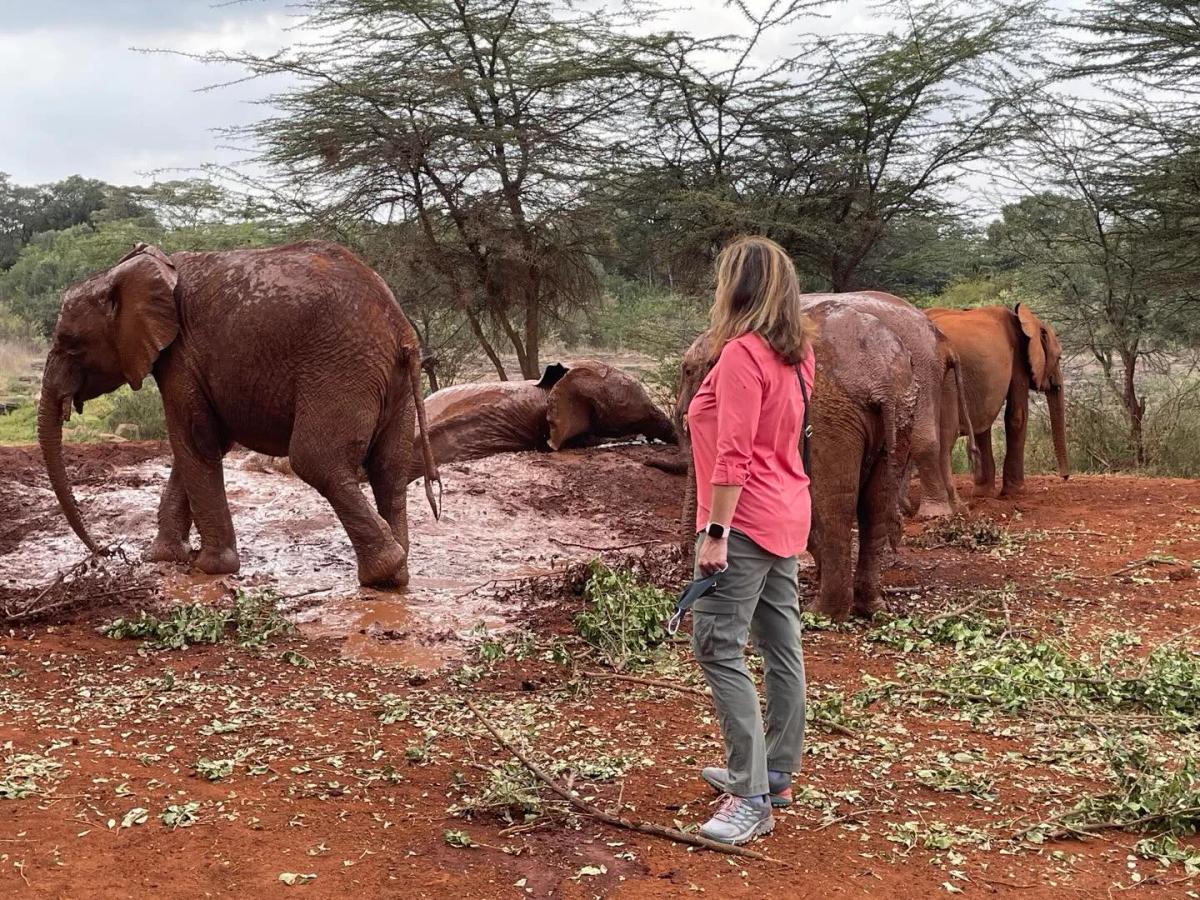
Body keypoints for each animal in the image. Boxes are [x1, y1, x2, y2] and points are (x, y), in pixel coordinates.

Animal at [38, 240, 439, 588]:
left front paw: (209, 566)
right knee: (389, 469)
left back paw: (382, 572)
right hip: (391, 383)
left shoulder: (181, 357)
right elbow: (201, 445)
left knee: (316, 460)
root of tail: (401, 330)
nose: (105, 552)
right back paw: (398, 574)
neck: (132, 270)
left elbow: (195, 441)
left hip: (341, 368)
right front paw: (162, 558)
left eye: (69, 343)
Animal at [676, 301, 917, 620]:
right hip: (902, 413)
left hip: (831, 416)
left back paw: (823, 613)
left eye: (688, 370)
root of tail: (884, 382)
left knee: (835, 507)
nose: (685, 557)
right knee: (875, 506)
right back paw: (870, 609)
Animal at [799, 292, 976, 519]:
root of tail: (939, 337)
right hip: (935, 374)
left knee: (924, 437)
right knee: (944, 436)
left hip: (918, 367)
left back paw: (933, 513)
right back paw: (954, 509)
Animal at [925, 303, 1069, 498]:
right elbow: (1017, 416)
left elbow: (982, 425)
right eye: (1059, 357)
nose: (1065, 477)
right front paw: (1016, 492)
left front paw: (983, 494)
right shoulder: (1018, 360)